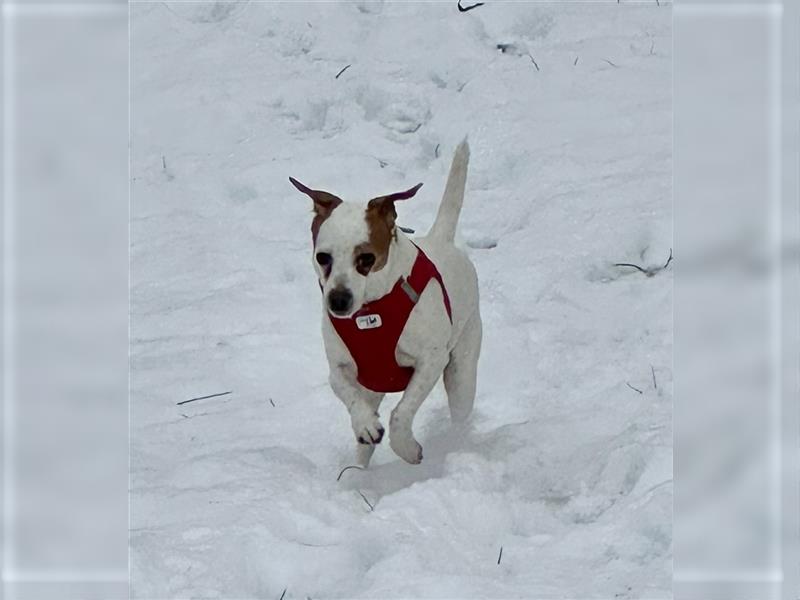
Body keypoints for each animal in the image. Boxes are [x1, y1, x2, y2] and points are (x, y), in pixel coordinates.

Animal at [290, 139, 484, 464]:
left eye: (366, 258)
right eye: (323, 257)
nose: (338, 300)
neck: (371, 310)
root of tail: (442, 240)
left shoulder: (432, 361)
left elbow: (401, 413)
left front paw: (406, 447)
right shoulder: (341, 369)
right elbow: (350, 396)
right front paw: (366, 425)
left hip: (462, 370)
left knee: (460, 409)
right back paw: (357, 471)